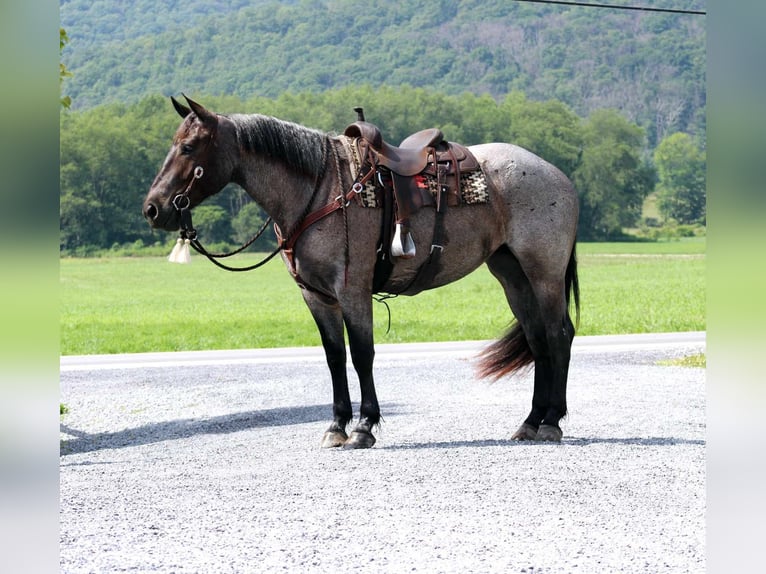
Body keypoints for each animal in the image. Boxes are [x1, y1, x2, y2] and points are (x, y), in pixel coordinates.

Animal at [142, 95, 584, 450]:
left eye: (189, 147)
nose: (153, 208)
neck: (320, 189)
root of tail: (556, 174)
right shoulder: (317, 297)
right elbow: (335, 357)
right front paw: (336, 426)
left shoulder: (352, 289)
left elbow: (362, 354)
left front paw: (364, 426)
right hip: (512, 275)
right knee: (538, 340)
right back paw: (530, 422)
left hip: (543, 273)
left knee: (558, 336)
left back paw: (550, 423)